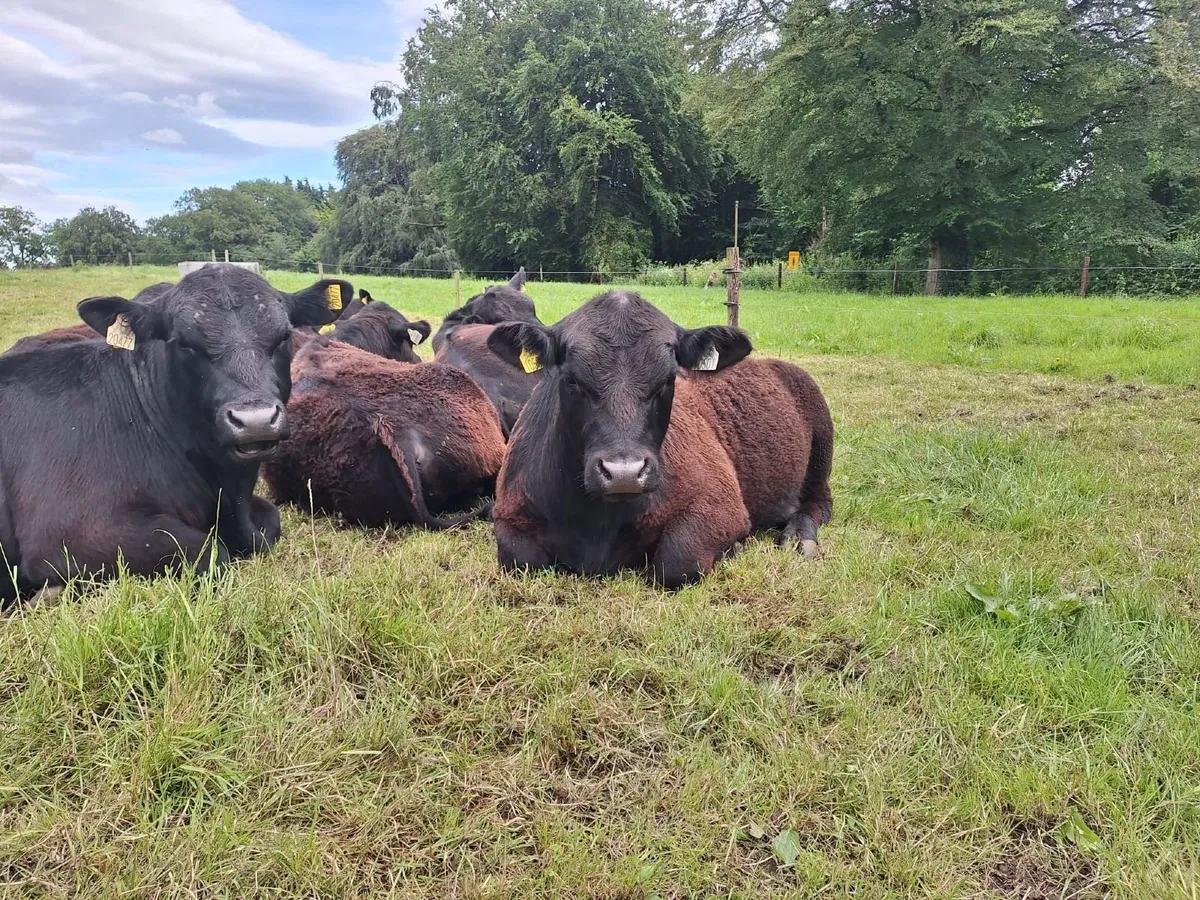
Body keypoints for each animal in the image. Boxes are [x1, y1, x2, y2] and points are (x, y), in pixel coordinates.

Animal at [0, 266, 339, 606]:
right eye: (185, 343)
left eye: (284, 336)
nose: (255, 420)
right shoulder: (74, 533)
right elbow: (211, 553)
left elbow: (270, 521)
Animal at [485, 290, 834, 589]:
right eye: (571, 379)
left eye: (668, 380)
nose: (624, 473)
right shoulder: (509, 514)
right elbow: (521, 560)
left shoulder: (721, 506)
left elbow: (677, 561)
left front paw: (734, 547)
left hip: (821, 450)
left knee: (818, 503)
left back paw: (800, 536)